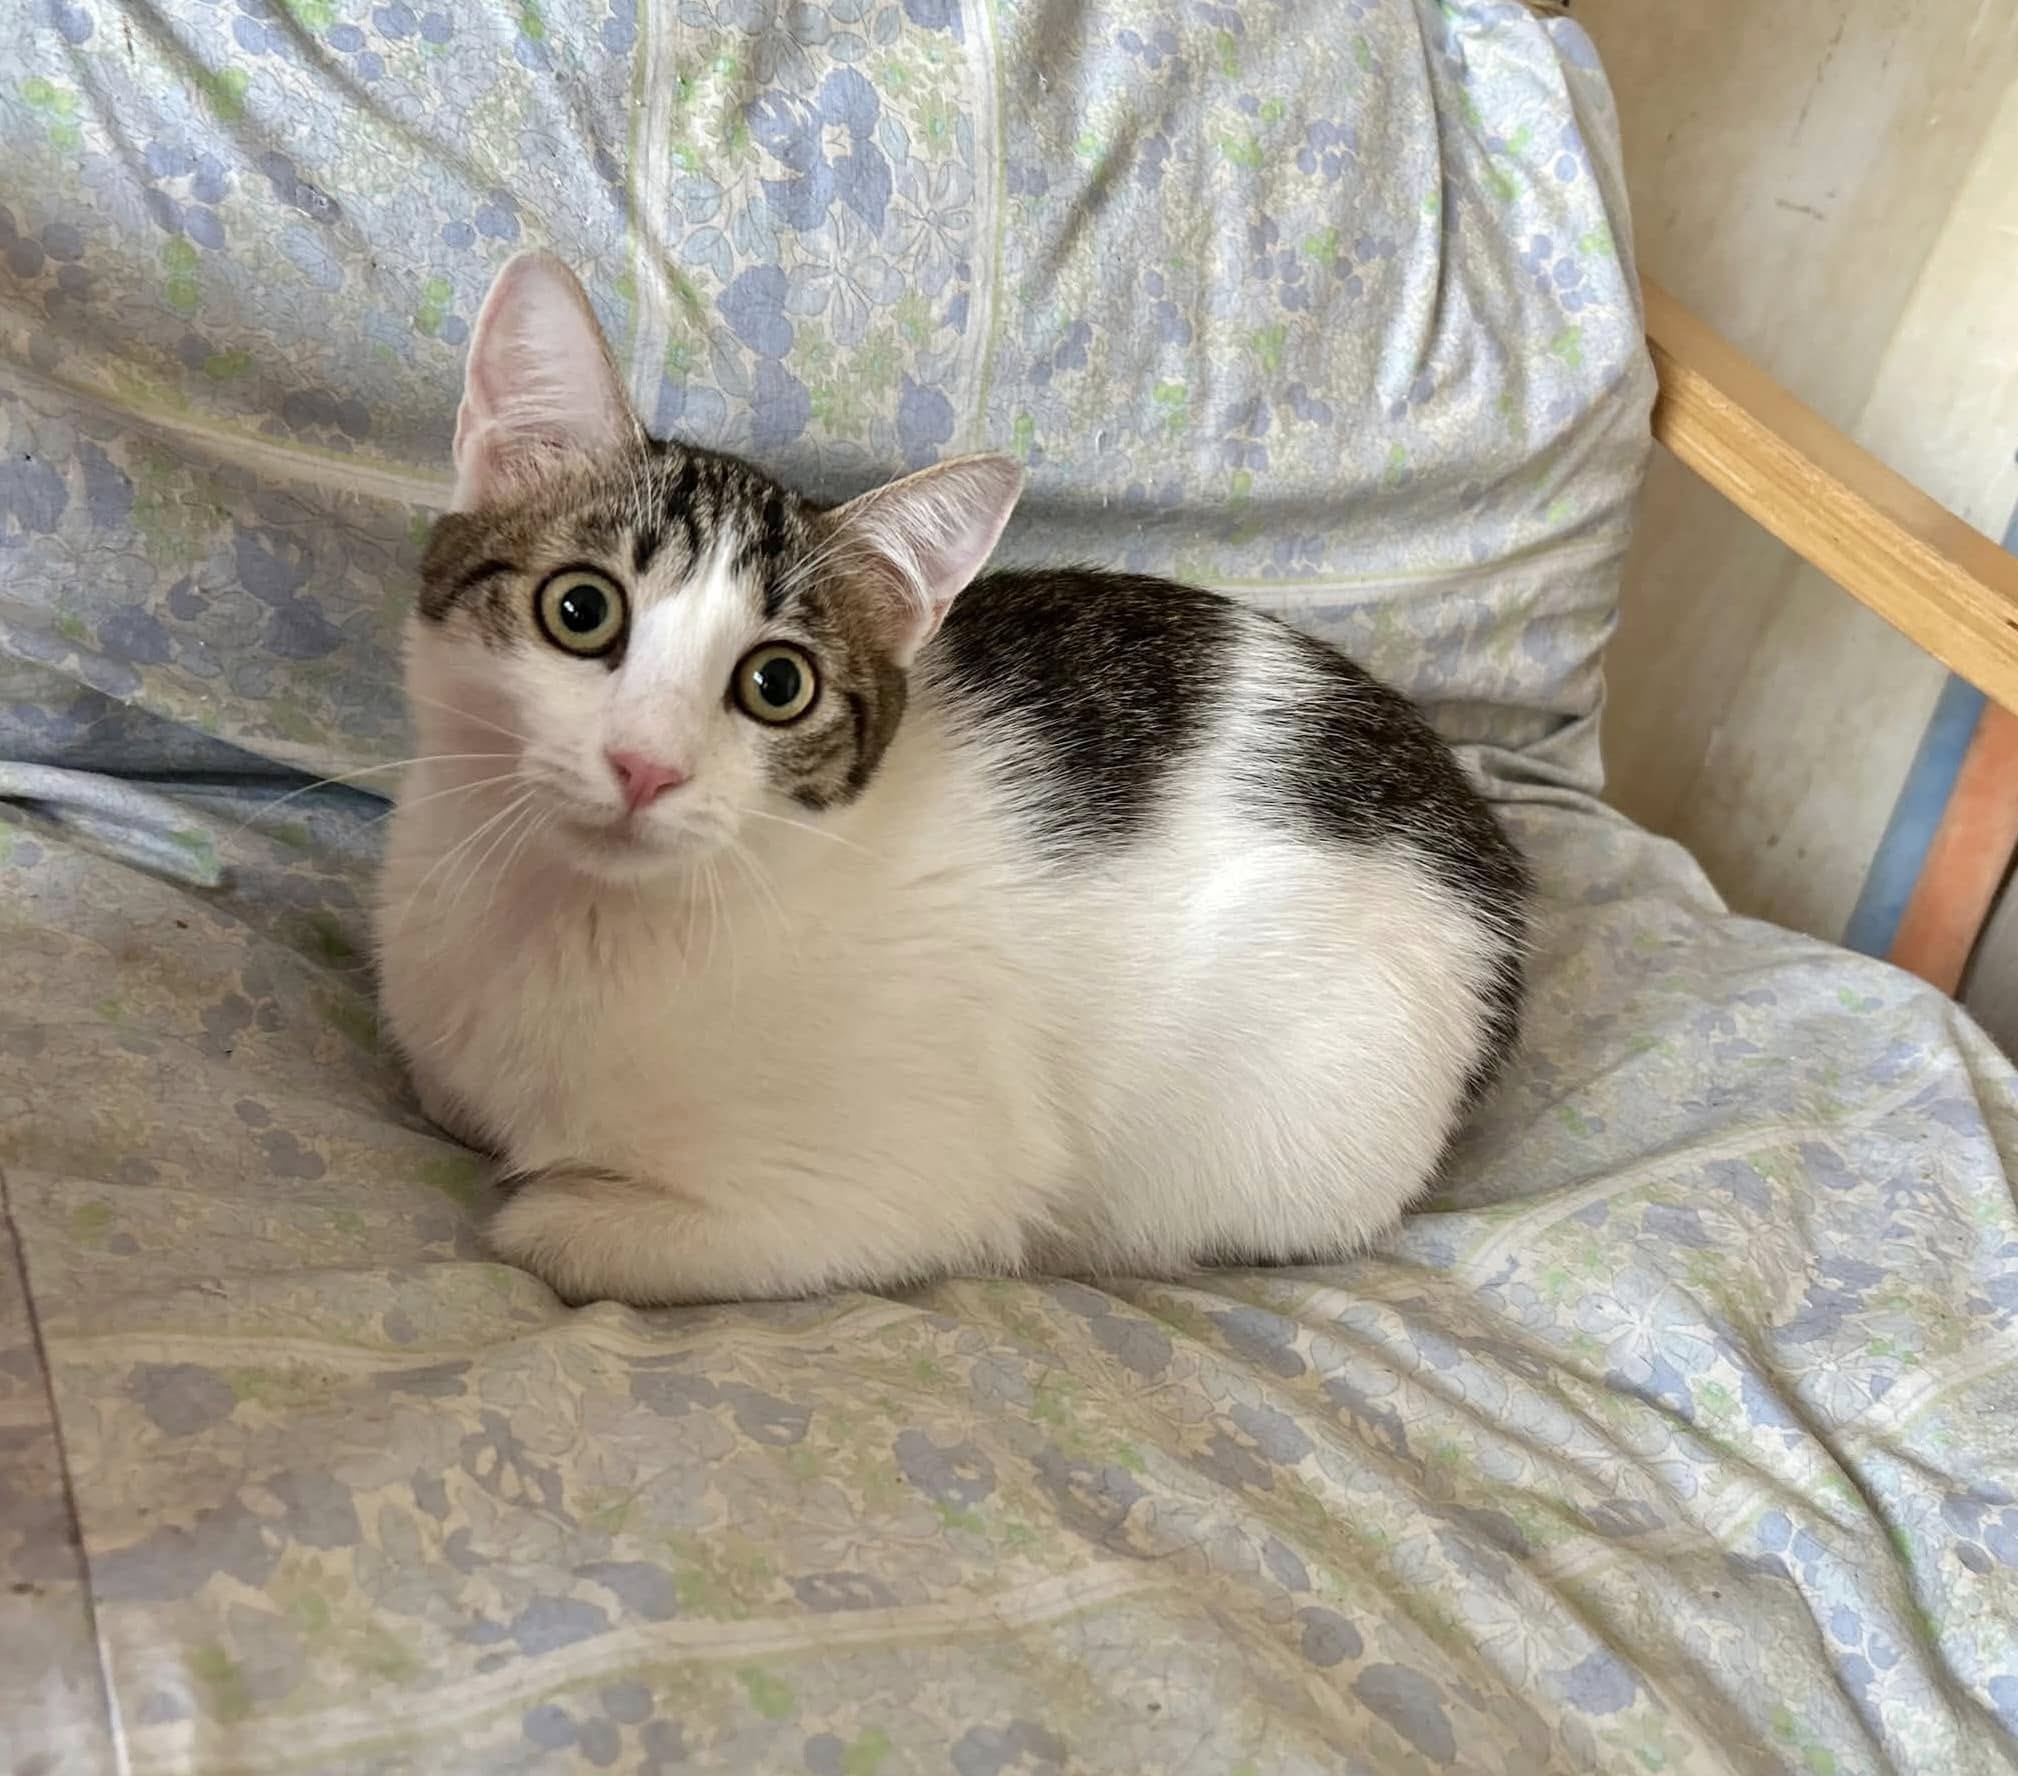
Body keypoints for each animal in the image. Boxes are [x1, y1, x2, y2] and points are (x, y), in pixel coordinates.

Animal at [374, 250, 1531, 1306]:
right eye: (581, 609)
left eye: (776, 684)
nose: (645, 765)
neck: (575, 917)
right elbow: (443, 1091)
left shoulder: (898, 1187)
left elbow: (559, 1233)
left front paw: (555, 1203)